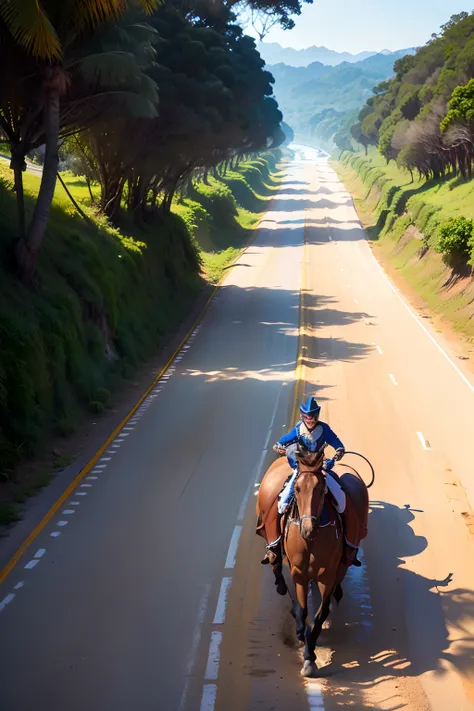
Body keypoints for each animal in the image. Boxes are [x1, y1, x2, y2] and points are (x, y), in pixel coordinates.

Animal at [256, 448, 370, 676]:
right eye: (297, 488)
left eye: (321, 488)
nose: (308, 529)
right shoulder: (299, 572)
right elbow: (304, 609)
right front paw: (302, 635)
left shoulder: (328, 574)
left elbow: (320, 613)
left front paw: (310, 657)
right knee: (275, 562)